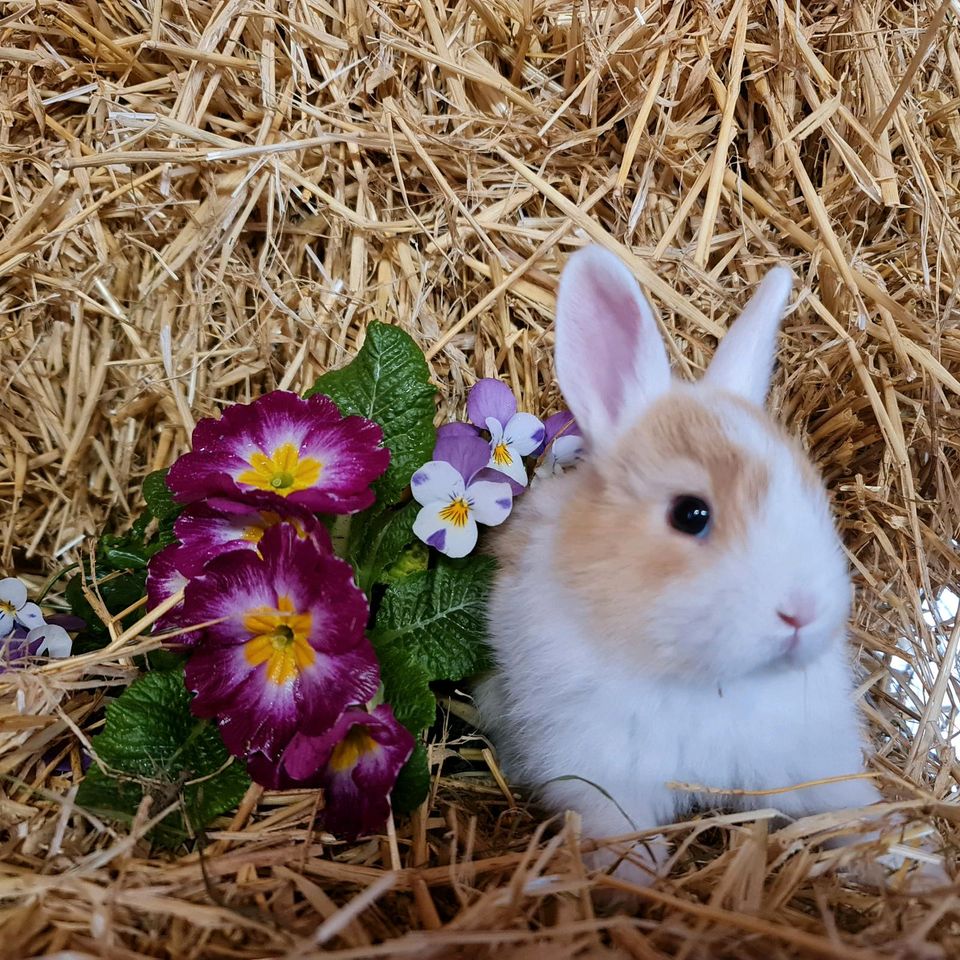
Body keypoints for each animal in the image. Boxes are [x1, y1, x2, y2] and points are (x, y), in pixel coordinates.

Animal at [476, 244, 880, 888]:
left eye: (813, 493)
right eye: (691, 514)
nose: (802, 613)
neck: (712, 681)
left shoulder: (812, 757)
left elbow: (850, 810)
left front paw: (913, 867)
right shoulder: (599, 772)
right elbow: (622, 833)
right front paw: (642, 881)